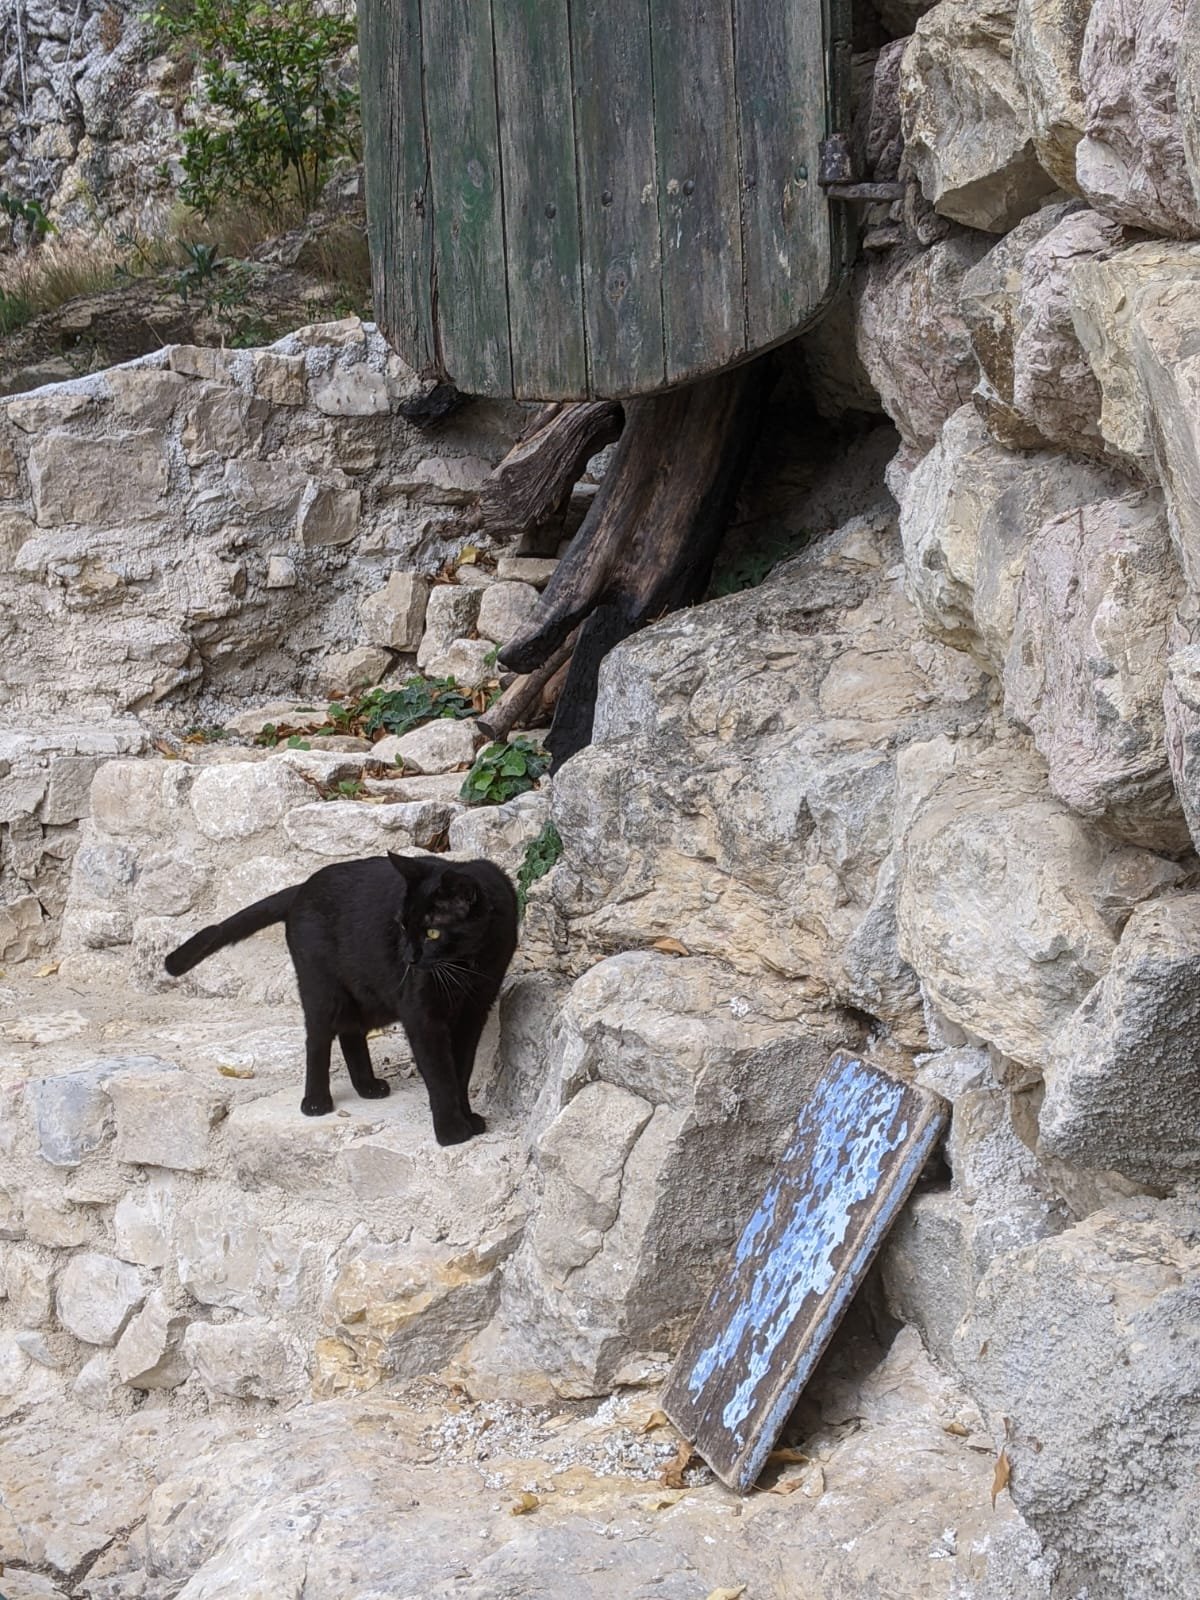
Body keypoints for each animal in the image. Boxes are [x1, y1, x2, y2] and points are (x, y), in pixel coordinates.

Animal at [162, 857, 518, 1145]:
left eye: (432, 933)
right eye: (403, 925)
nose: (408, 958)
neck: (466, 967)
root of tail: (303, 886)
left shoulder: (474, 1013)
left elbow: (461, 1071)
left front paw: (468, 1118)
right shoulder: (423, 1017)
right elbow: (441, 1075)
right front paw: (451, 1132)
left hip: (367, 994)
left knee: (350, 1032)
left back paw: (368, 1086)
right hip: (322, 990)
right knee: (318, 1040)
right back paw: (316, 1102)